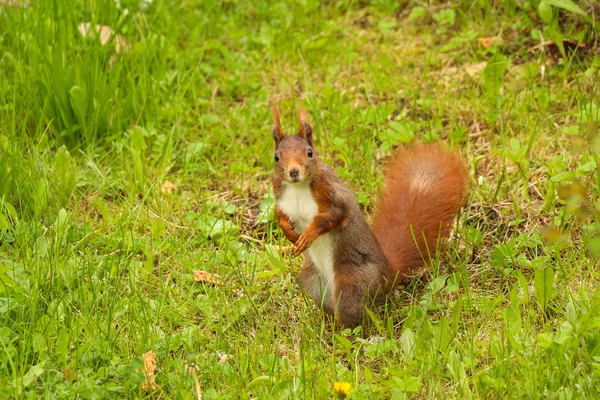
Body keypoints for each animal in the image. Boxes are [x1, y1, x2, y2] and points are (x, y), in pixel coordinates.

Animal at [268, 106, 468, 328]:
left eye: (309, 152)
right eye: (276, 157)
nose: (294, 171)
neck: (298, 187)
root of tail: (388, 273)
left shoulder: (331, 194)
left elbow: (335, 215)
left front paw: (308, 235)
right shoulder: (281, 197)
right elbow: (280, 215)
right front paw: (289, 232)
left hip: (352, 284)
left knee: (355, 315)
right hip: (313, 281)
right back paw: (325, 322)